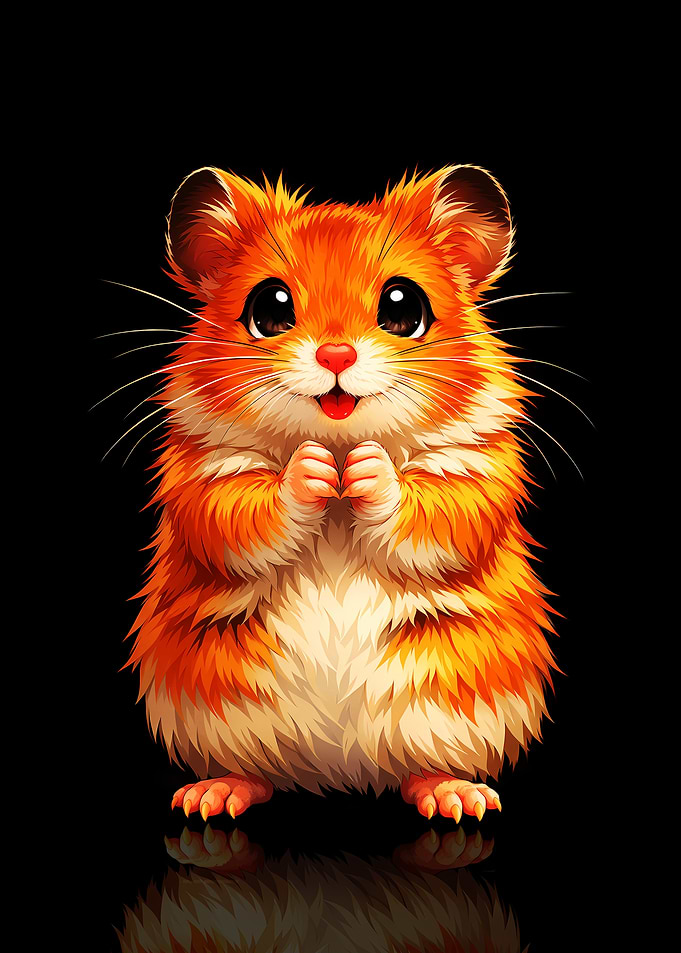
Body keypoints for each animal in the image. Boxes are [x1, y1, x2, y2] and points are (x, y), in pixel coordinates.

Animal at [124, 164, 558, 823]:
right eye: (269, 307)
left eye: (403, 307)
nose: (336, 354)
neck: (337, 438)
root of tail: (337, 773)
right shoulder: (204, 474)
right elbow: (239, 512)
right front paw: (315, 472)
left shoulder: (474, 471)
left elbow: (435, 511)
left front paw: (364, 471)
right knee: (257, 775)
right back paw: (208, 798)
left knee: (418, 773)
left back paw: (460, 800)